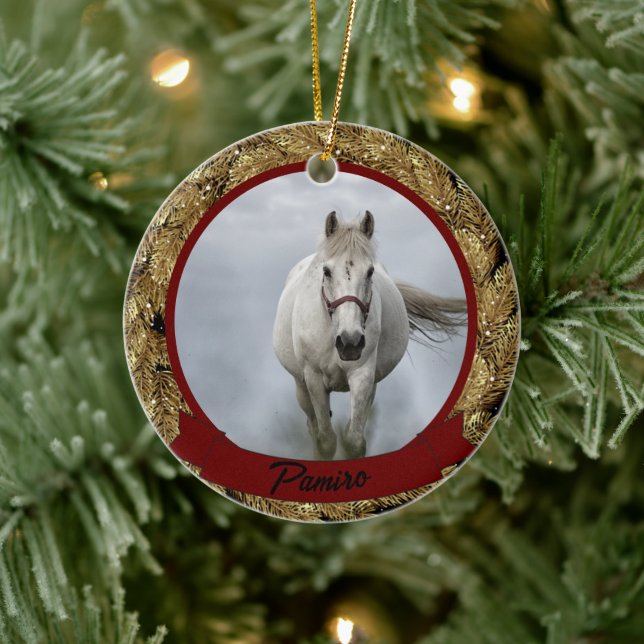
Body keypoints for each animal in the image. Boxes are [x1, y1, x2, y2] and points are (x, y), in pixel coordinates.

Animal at [272, 211, 466, 459]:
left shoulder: (363, 375)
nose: (350, 342)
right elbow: (325, 441)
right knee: (313, 426)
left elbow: (353, 440)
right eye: (326, 271)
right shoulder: (314, 378)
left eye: (370, 271)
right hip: (301, 386)